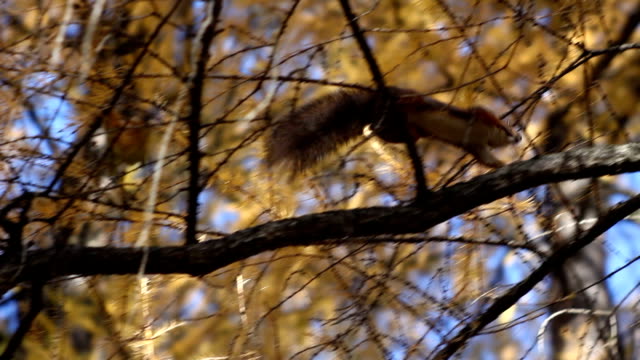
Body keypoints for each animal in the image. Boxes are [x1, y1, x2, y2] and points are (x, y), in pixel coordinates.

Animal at [264, 87, 520, 176]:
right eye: (509, 128)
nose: (518, 137)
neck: (485, 136)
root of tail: (370, 109)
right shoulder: (479, 117)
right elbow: (482, 112)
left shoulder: (475, 146)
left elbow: (485, 159)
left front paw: (501, 164)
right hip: (405, 102)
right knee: (407, 102)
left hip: (392, 130)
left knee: (382, 131)